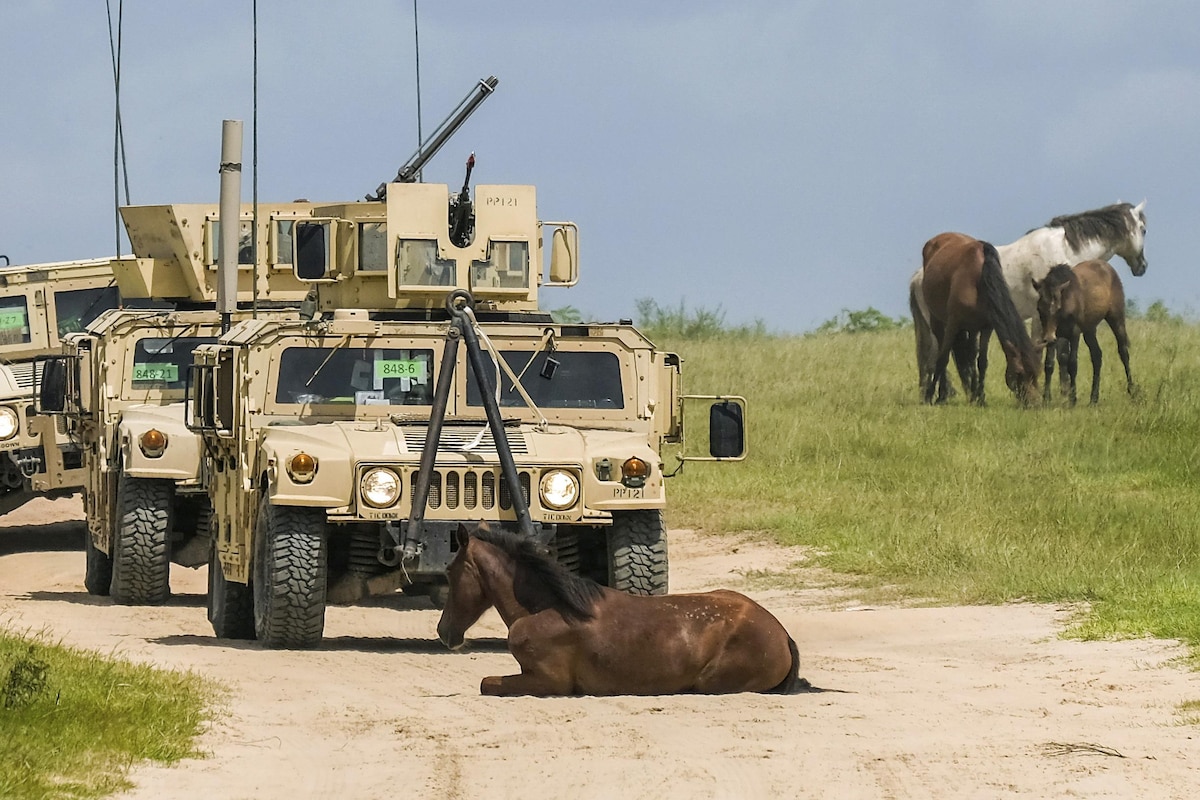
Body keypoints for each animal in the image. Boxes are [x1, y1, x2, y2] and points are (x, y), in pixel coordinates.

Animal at [436, 522, 801, 695]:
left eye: (450, 572)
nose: (443, 631)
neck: (549, 608)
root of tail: (781, 634)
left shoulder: (549, 682)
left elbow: (486, 683)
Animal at [916, 235, 1041, 402]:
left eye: (1036, 374)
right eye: (1019, 373)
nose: (1034, 403)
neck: (979, 280)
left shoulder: (986, 327)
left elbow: (982, 361)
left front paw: (980, 397)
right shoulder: (953, 324)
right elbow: (943, 358)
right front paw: (931, 396)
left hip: (973, 328)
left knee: (970, 356)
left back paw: (972, 393)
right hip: (937, 320)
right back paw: (943, 394)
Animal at [1032, 261, 1132, 402]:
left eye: (1058, 307)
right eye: (1039, 308)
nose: (1049, 338)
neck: (1067, 298)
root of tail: (1108, 268)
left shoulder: (1074, 334)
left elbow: (1072, 364)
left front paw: (1073, 399)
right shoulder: (1052, 335)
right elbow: (1049, 364)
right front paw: (1046, 398)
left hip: (1116, 318)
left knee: (1123, 352)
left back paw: (1133, 391)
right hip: (1089, 329)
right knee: (1097, 356)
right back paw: (1093, 399)